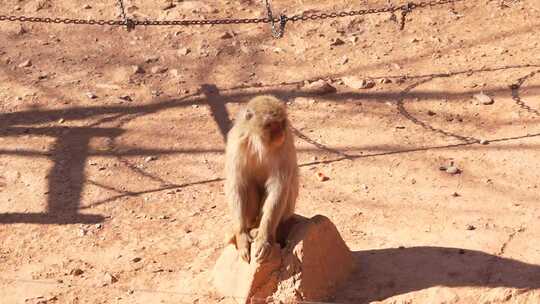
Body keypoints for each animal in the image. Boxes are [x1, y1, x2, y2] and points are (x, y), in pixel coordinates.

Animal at [224, 95, 300, 264]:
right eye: (270, 125)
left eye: (280, 122)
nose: (279, 133)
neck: (259, 142)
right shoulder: (237, 143)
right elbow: (236, 185)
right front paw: (241, 237)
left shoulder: (285, 145)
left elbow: (278, 187)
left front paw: (264, 239)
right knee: (248, 185)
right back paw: (250, 226)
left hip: (287, 212)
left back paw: (263, 228)